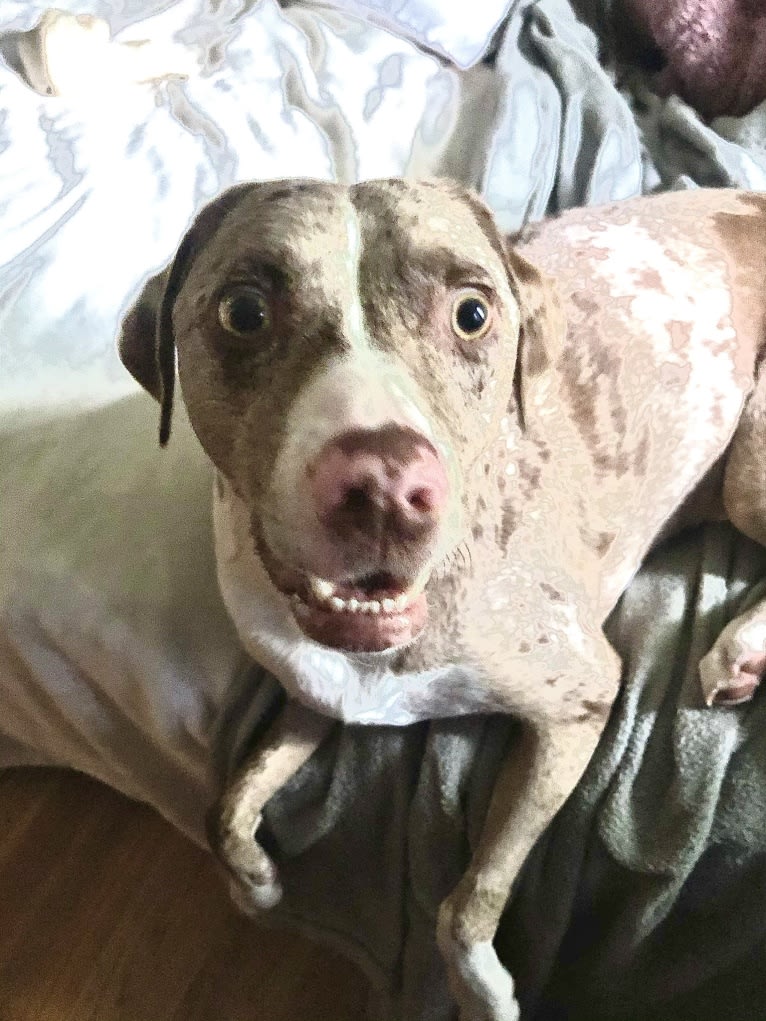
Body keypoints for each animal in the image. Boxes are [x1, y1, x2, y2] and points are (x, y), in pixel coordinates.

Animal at [116, 183, 766, 1021]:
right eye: (244, 311)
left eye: (472, 312)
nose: (385, 488)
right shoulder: (314, 695)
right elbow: (226, 807)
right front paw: (255, 884)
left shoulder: (578, 703)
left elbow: (470, 896)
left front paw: (485, 991)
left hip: (750, 467)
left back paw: (742, 648)